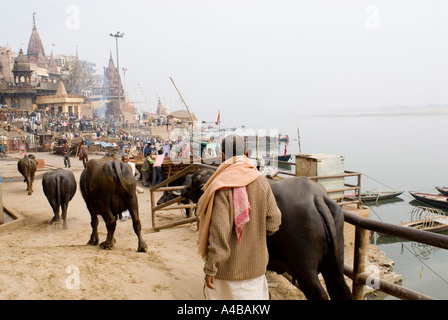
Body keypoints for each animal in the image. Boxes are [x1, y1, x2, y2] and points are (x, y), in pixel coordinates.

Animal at [182, 168, 354, 300]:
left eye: (194, 180)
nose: (183, 189)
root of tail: (317, 197)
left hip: (305, 267)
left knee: (319, 294)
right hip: (334, 260)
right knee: (340, 289)